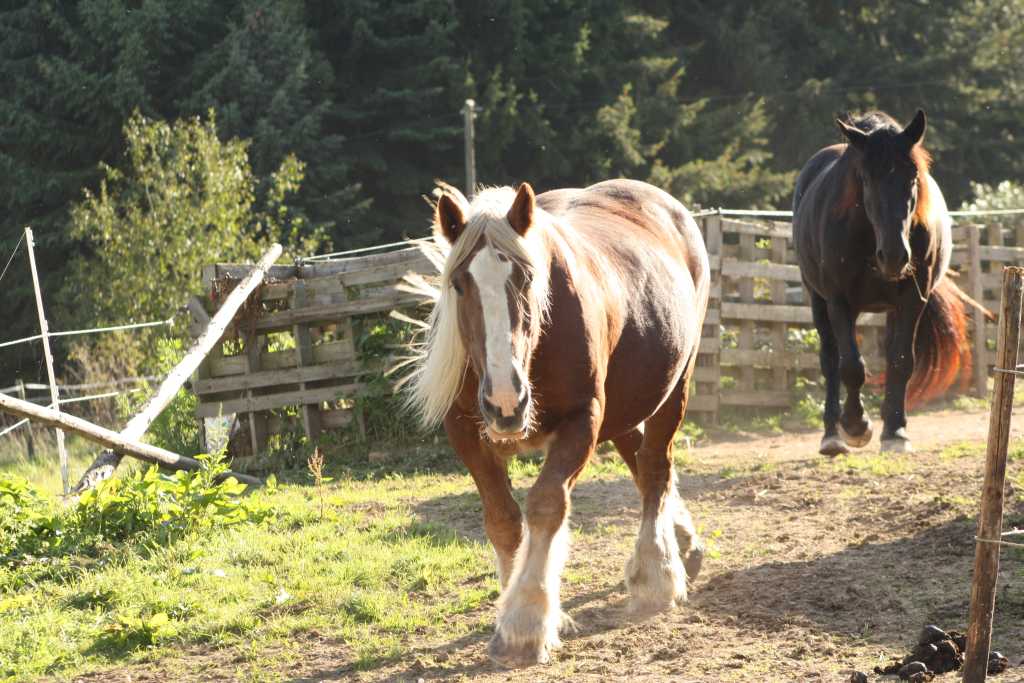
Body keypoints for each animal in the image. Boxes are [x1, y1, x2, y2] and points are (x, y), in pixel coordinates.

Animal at [403, 179, 708, 663]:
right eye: (458, 284)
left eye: (526, 279)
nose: (505, 401)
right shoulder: (466, 432)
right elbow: (502, 520)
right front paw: (510, 608)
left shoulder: (582, 420)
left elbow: (546, 505)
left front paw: (525, 621)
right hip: (627, 404)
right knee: (641, 463)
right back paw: (683, 546)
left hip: (675, 384)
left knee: (656, 467)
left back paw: (657, 572)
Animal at [790, 109, 974, 456]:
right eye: (865, 178)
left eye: (912, 176)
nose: (893, 255)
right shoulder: (838, 301)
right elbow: (850, 365)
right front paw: (855, 426)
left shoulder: (912, 300)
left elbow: (901, 361)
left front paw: (896, 432)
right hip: (818, 300)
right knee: (830, 358)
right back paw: (832, 434)